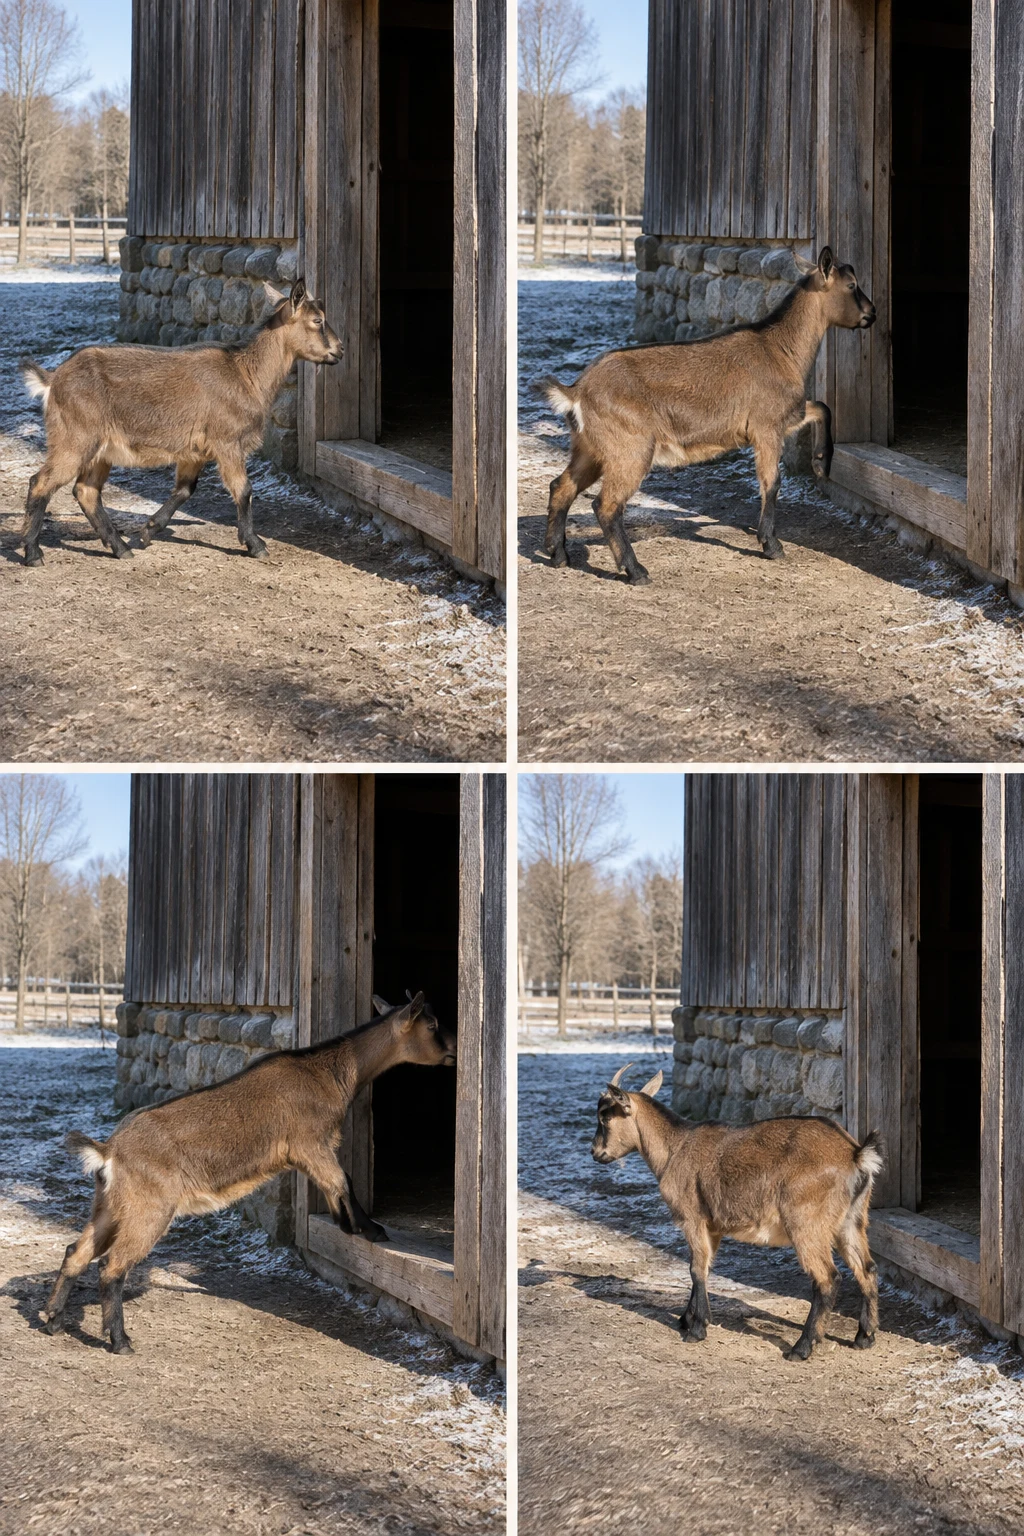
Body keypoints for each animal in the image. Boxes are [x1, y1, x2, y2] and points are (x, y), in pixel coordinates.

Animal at [17, 278, 341, 567]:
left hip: (100, 449)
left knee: (86, 491)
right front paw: (255, 545)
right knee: (41, 483)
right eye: (317, 320)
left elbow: (185, 490)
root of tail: (54, 379)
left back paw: (121, 548)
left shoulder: (195, 451)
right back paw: (33, 554)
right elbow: (244, 490)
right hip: (74, 438)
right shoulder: (227, 442)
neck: (246, 373)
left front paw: (146, 533)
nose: (339, 350)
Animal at [39, 991, 453, 1354]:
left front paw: (346, 1226)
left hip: (109, 1205)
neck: (330, 1074)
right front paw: (371, 1229)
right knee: (112, 1267)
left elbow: (331, 1183)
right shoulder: (310, 1143)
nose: (453, 1050)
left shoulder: (309, 1152)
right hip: (149, 1208)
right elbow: (341, 1180)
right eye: (432, 1024)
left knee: (76, 1251)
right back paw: (120, 1341)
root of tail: (108, 1151)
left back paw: (54, 1321)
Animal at [540, 247, 876, 583]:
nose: (871, 314)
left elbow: (822, 407)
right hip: (630, 447)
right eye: (851, 285)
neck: (780, 350)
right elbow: (771, 482)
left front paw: (821, 463)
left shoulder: (786, 416)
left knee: (561, 486)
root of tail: (577, 391)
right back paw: (636, 571)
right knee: (606, 505)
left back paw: (558, 555)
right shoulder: (766, 426)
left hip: (590, 447)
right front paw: (771, 544)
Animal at [591, 1063, 883, 1361]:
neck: (674, 1148)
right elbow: (704, 1266)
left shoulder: (692, 1218)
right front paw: (688, 1318)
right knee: (867, 1269)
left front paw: (697, 1329)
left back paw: (801, 1348)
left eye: (605, 1117)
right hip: (851, 1220)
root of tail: (855, 1154)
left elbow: (696, 1268)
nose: (595, 1152)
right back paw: (864, 1337)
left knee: (827, 1278)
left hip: (806, 1224)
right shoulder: (713, 1226)